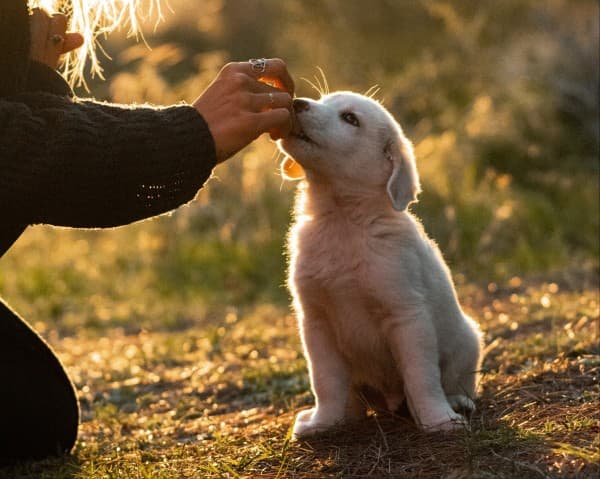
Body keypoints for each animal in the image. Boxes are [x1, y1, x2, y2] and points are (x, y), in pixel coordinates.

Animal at [280, 93, 482, 438]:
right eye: (322, 99)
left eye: (350, 119)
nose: (297, 102)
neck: (343, 221)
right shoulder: (315, 321)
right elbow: (325, 381)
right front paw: (323, 422)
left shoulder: (406, 315)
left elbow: (421, 376)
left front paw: (437, 419)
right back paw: (347, 416)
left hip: (468, 340)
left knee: (455, 380)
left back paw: (457, 401)